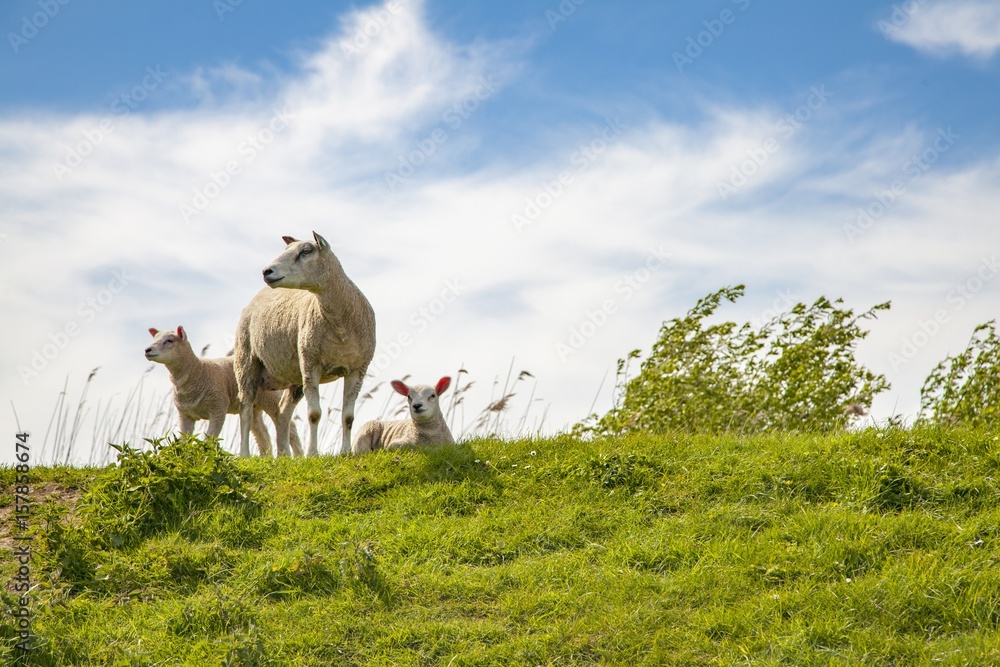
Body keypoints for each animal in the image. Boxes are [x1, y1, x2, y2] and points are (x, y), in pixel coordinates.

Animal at [145, 326, 303, 456]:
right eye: (155, 338)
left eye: (169, 340)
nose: (147, 350)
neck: (198, 371)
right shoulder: (185, 414)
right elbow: (184, 440)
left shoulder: (218, 408)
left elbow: (209, 438)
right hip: (254, 405)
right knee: (262, 433)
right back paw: (266, 459)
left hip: (271, 397)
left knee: (289, 426)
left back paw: (298, 456)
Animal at [234, 231, 376, 457]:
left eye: (306, 251)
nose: (266, 271)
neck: (340, 327)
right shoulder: (311, 364)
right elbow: (314, 414)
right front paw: (312, 453)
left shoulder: (358, 369)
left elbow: (348, 417)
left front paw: (346, 452)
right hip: (246, 360)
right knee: (246, 408)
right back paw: (245, 454)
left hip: (294, 377)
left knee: (282, 413)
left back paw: (284, 455)